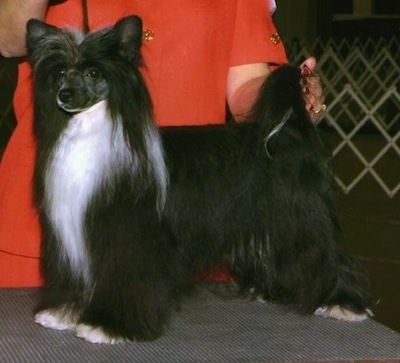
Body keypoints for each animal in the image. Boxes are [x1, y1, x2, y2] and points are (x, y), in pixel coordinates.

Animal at [27, 14, 372, 344]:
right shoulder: (73, 235)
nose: (65, 95)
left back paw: (343, 304)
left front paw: (110, 327)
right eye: (59, 73)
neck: (92, 132)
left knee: (325, 256)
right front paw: (64, 313)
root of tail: (289, 131)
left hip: (300, 219)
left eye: (94, 73)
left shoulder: (129, 239)